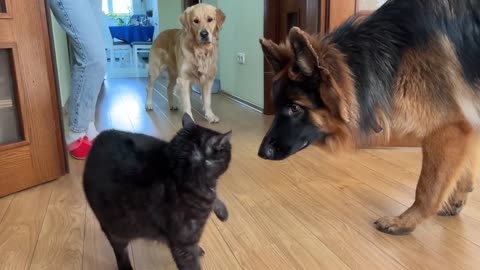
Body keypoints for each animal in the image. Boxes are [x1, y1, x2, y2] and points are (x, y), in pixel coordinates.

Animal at [82, 113, 232, 270]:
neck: (176, 171)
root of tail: (97, 141)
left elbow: (215, 196)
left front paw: (222, 211)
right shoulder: (183, 243)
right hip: (115, 228)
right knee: (120, 251)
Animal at [258, 0, 480, 235]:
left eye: (295, 108)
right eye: (278, 106)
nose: (262, 153)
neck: (397, 48)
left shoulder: (448, 128)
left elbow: (427, 187)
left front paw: (405, 222)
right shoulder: (467, 123)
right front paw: (456, 200)